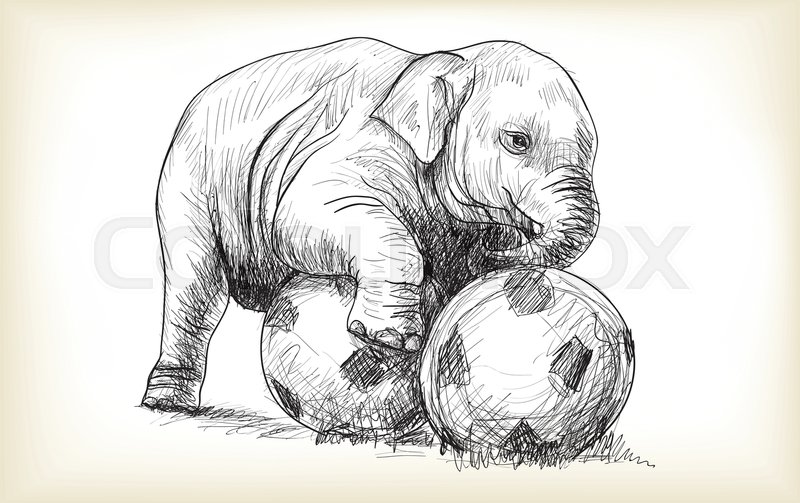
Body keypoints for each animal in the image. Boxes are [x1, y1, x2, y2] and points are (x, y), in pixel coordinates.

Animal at [142, 37, 599, 412]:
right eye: (517, 141)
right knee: (196, 287)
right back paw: (168, 404)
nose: (506, 239)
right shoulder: (359, 142)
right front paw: (389, 340)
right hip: (189, 184)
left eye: (593, 152)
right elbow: (305, 212)